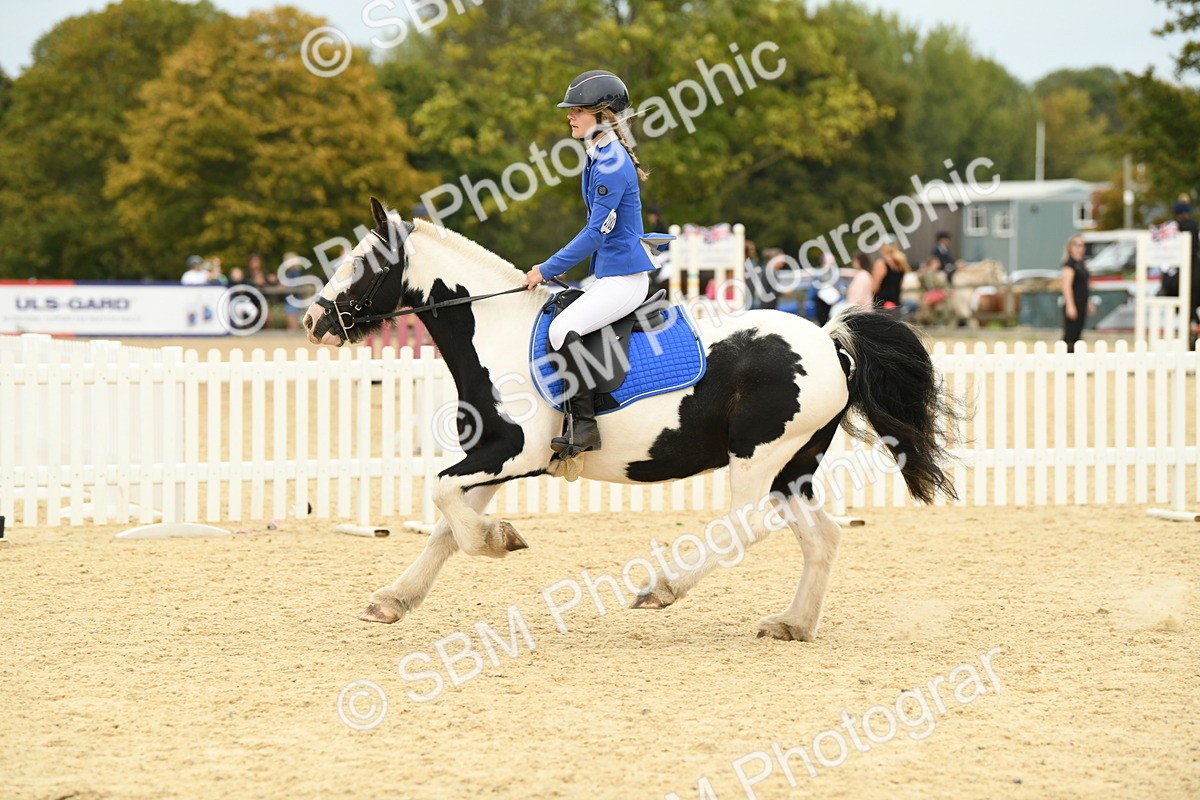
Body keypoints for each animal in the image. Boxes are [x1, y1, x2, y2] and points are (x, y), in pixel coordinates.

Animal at [304, 198, 957, 641]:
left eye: (362, 262)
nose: (314, 320)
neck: (497, 330)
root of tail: (827, 338)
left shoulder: (515, 455)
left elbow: (441, 496)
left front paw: (498, 540)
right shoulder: (493, 461)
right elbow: (445, 525)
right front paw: (395, 598)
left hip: (759, 458)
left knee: (742, 527)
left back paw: (663, 589)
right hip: (791, 468)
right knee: (822, 539)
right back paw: (793, 623)